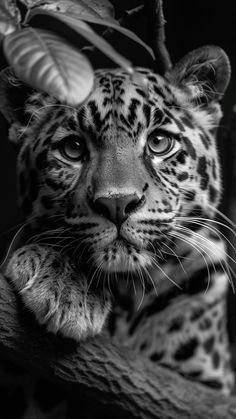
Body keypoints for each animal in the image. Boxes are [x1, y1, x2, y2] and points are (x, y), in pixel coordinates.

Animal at [0, 44, 234, 418]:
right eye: (73, 149)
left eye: (159, 142)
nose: (118, 203)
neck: (125, 292)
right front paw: (64, 284)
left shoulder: (207, 385)